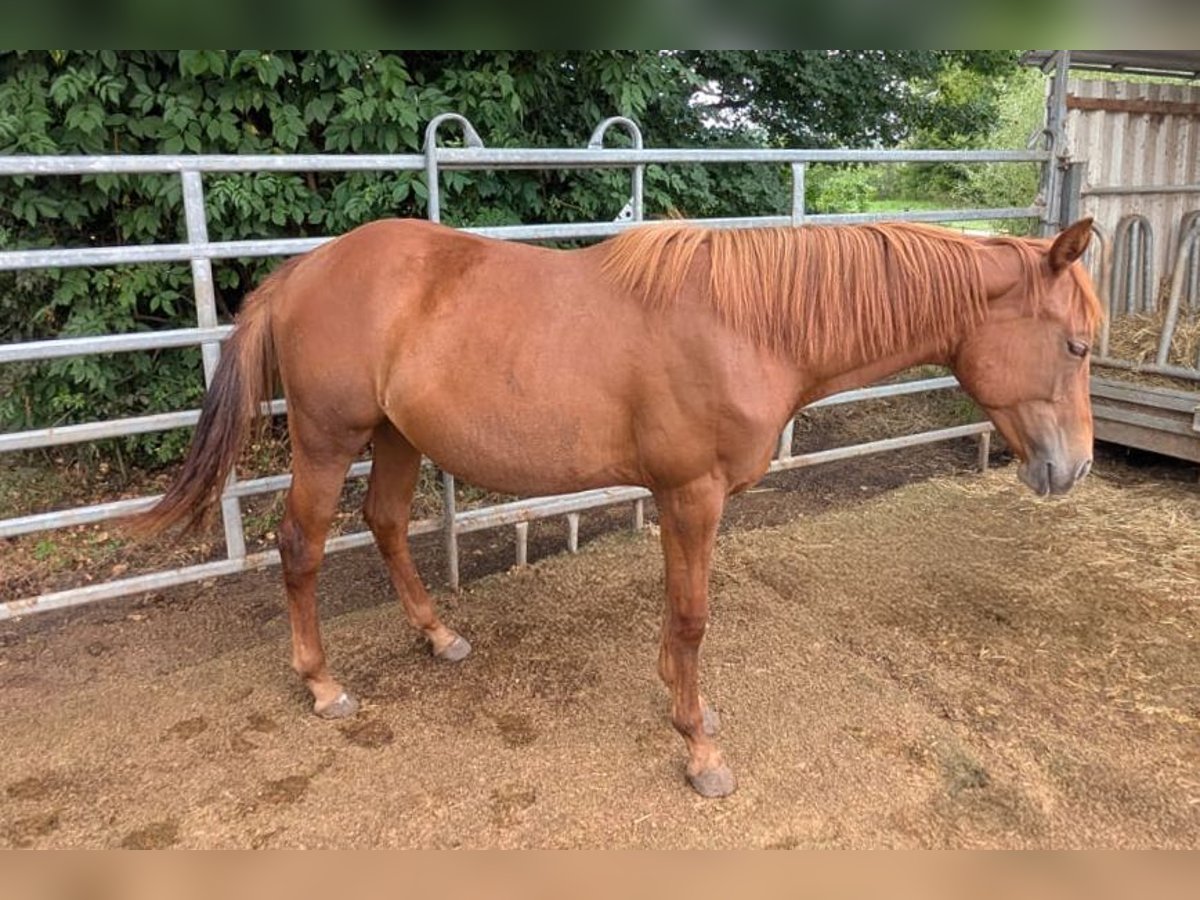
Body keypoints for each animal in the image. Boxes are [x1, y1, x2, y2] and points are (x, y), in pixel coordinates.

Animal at [133, 216, 1101, 798]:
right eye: (1076, 344)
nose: (1075, 468)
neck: (750, 325)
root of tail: (303, 272)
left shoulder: (682, 502)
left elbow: (677, 616)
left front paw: (688, 706)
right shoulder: (692, 496)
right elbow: (694, 615)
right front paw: (700, 750)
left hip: (396, 435)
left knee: (386, 525)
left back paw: (439, 636)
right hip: (329, 440)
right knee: (299, 546)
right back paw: (324, 684)